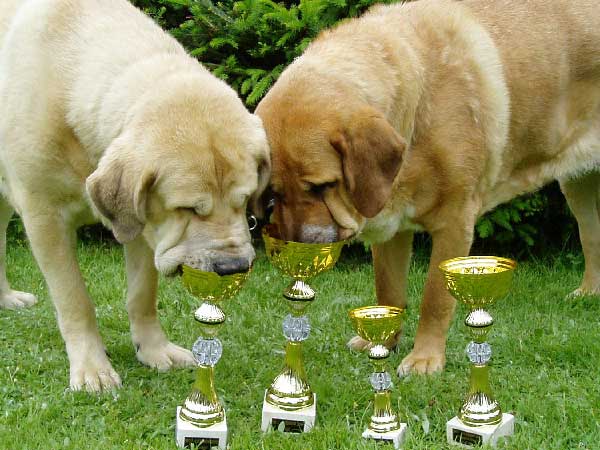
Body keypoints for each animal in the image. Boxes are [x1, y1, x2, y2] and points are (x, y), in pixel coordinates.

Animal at [0, 0, 268, 390]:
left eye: (245, 201)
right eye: (187, 208)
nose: (233, 268)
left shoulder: (144, 223)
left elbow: (143, 294)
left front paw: (154, 350)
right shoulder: (44, 217)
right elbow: (74, 298)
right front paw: (92, 368)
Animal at [256, 0, 600, 376]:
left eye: (323, 186)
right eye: (274, 194)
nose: (298, 250)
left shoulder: (454, 224)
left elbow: (435, 299)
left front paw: (425, 358)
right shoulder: (390, 226)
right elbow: (388, 291)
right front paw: (381, 341)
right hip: (577, 187)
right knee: (592, 237)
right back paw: (588, 294)